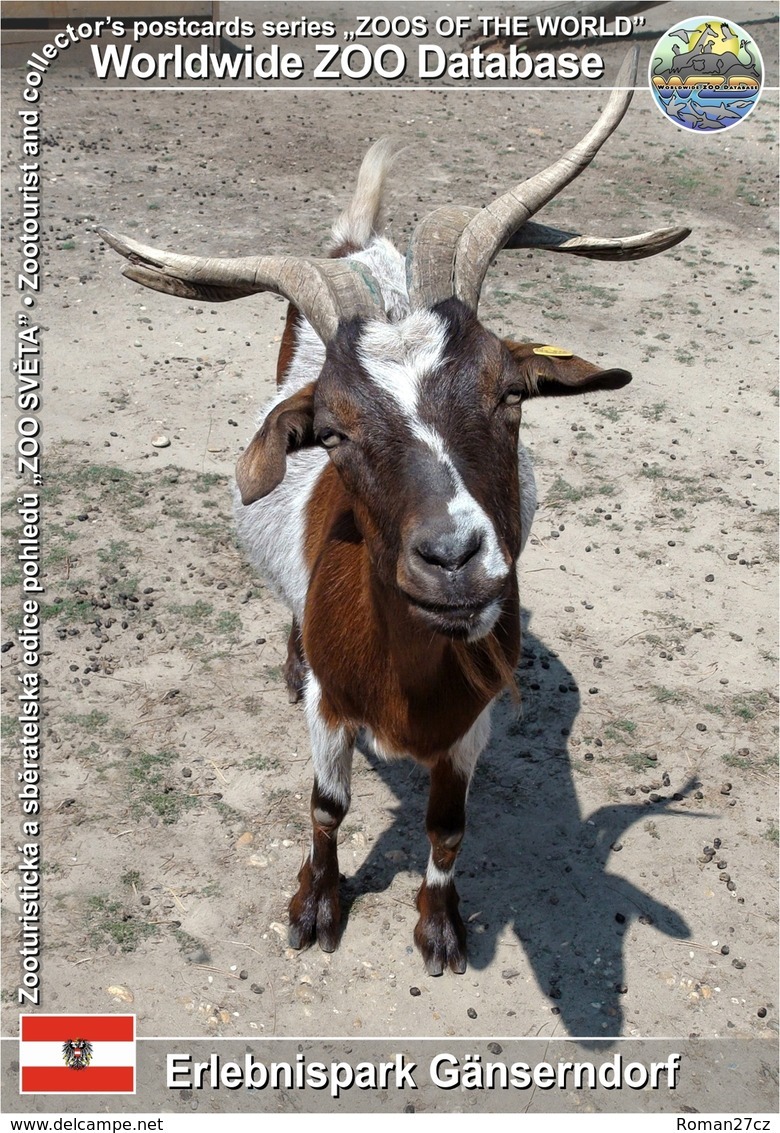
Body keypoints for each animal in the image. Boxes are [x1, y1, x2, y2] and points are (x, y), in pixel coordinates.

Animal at [99, 48, 689, 978]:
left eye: (509, 390)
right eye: (332, 430)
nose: (453, 558)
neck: (409, 682)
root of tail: (360, 242)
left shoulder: (473, 723)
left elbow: (447, 826)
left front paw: (441, 927)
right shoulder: (332, 711)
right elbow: (326, 806)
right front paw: (314, 906)